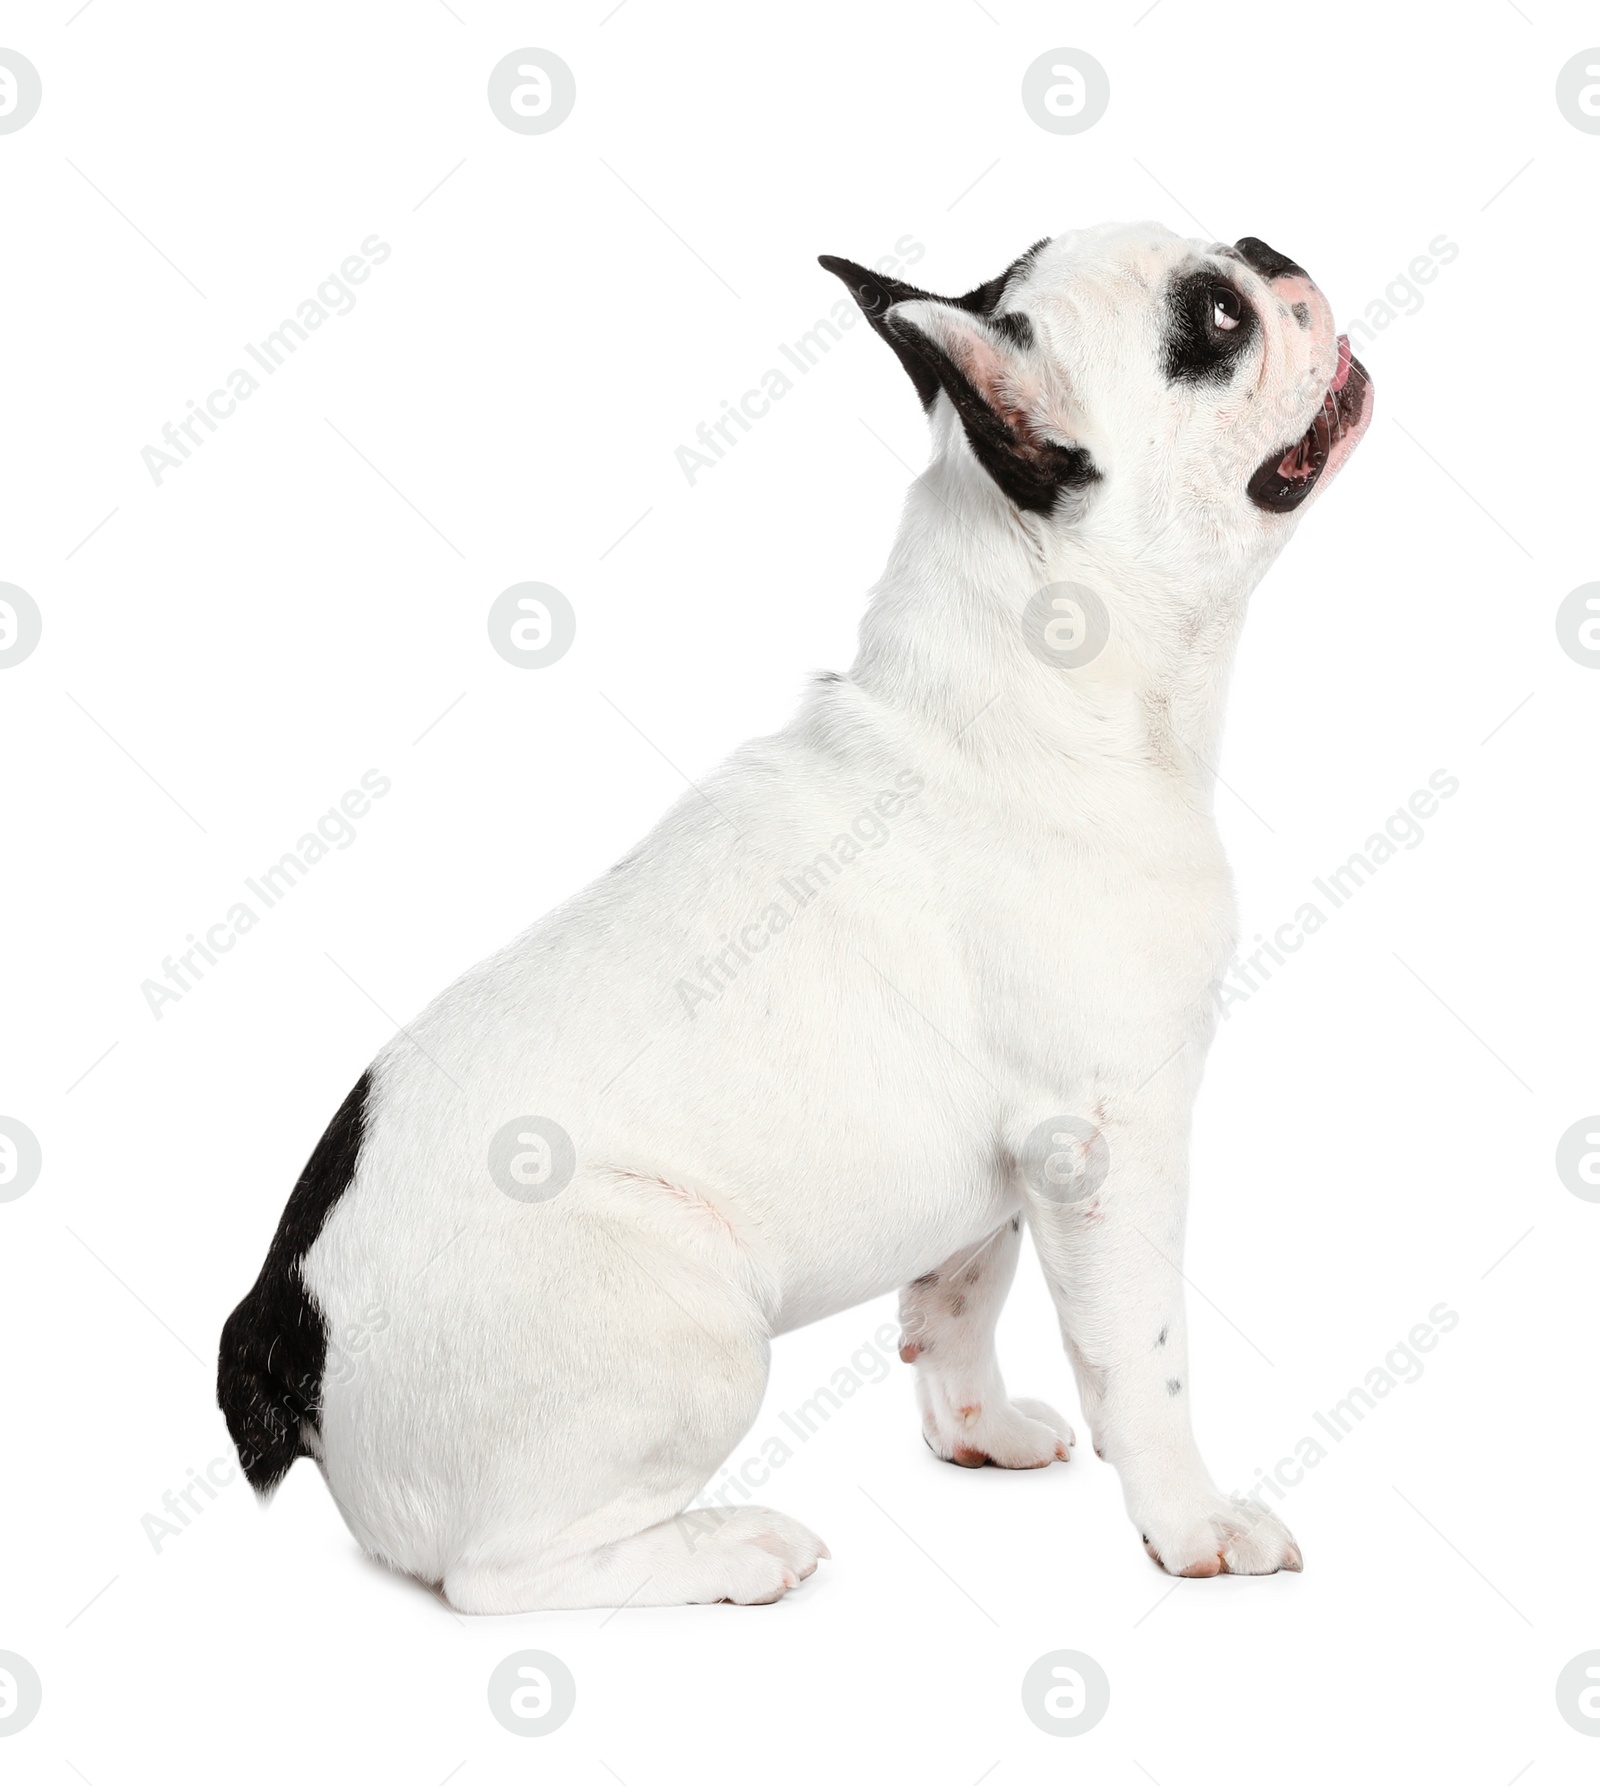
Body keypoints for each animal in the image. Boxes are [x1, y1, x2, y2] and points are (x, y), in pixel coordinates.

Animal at [221, 216, 1371, 1614]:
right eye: (1214, 319)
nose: (1268, 248)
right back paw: (729, 1547)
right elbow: (1140, 1359)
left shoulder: (1006, 1167)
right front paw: (1192, 1524)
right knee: (500, 1577)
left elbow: (960, 1297)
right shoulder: (1110, 1144)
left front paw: (975, 1429)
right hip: (689, 1319)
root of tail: (280, 1333)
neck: (1056, 685)